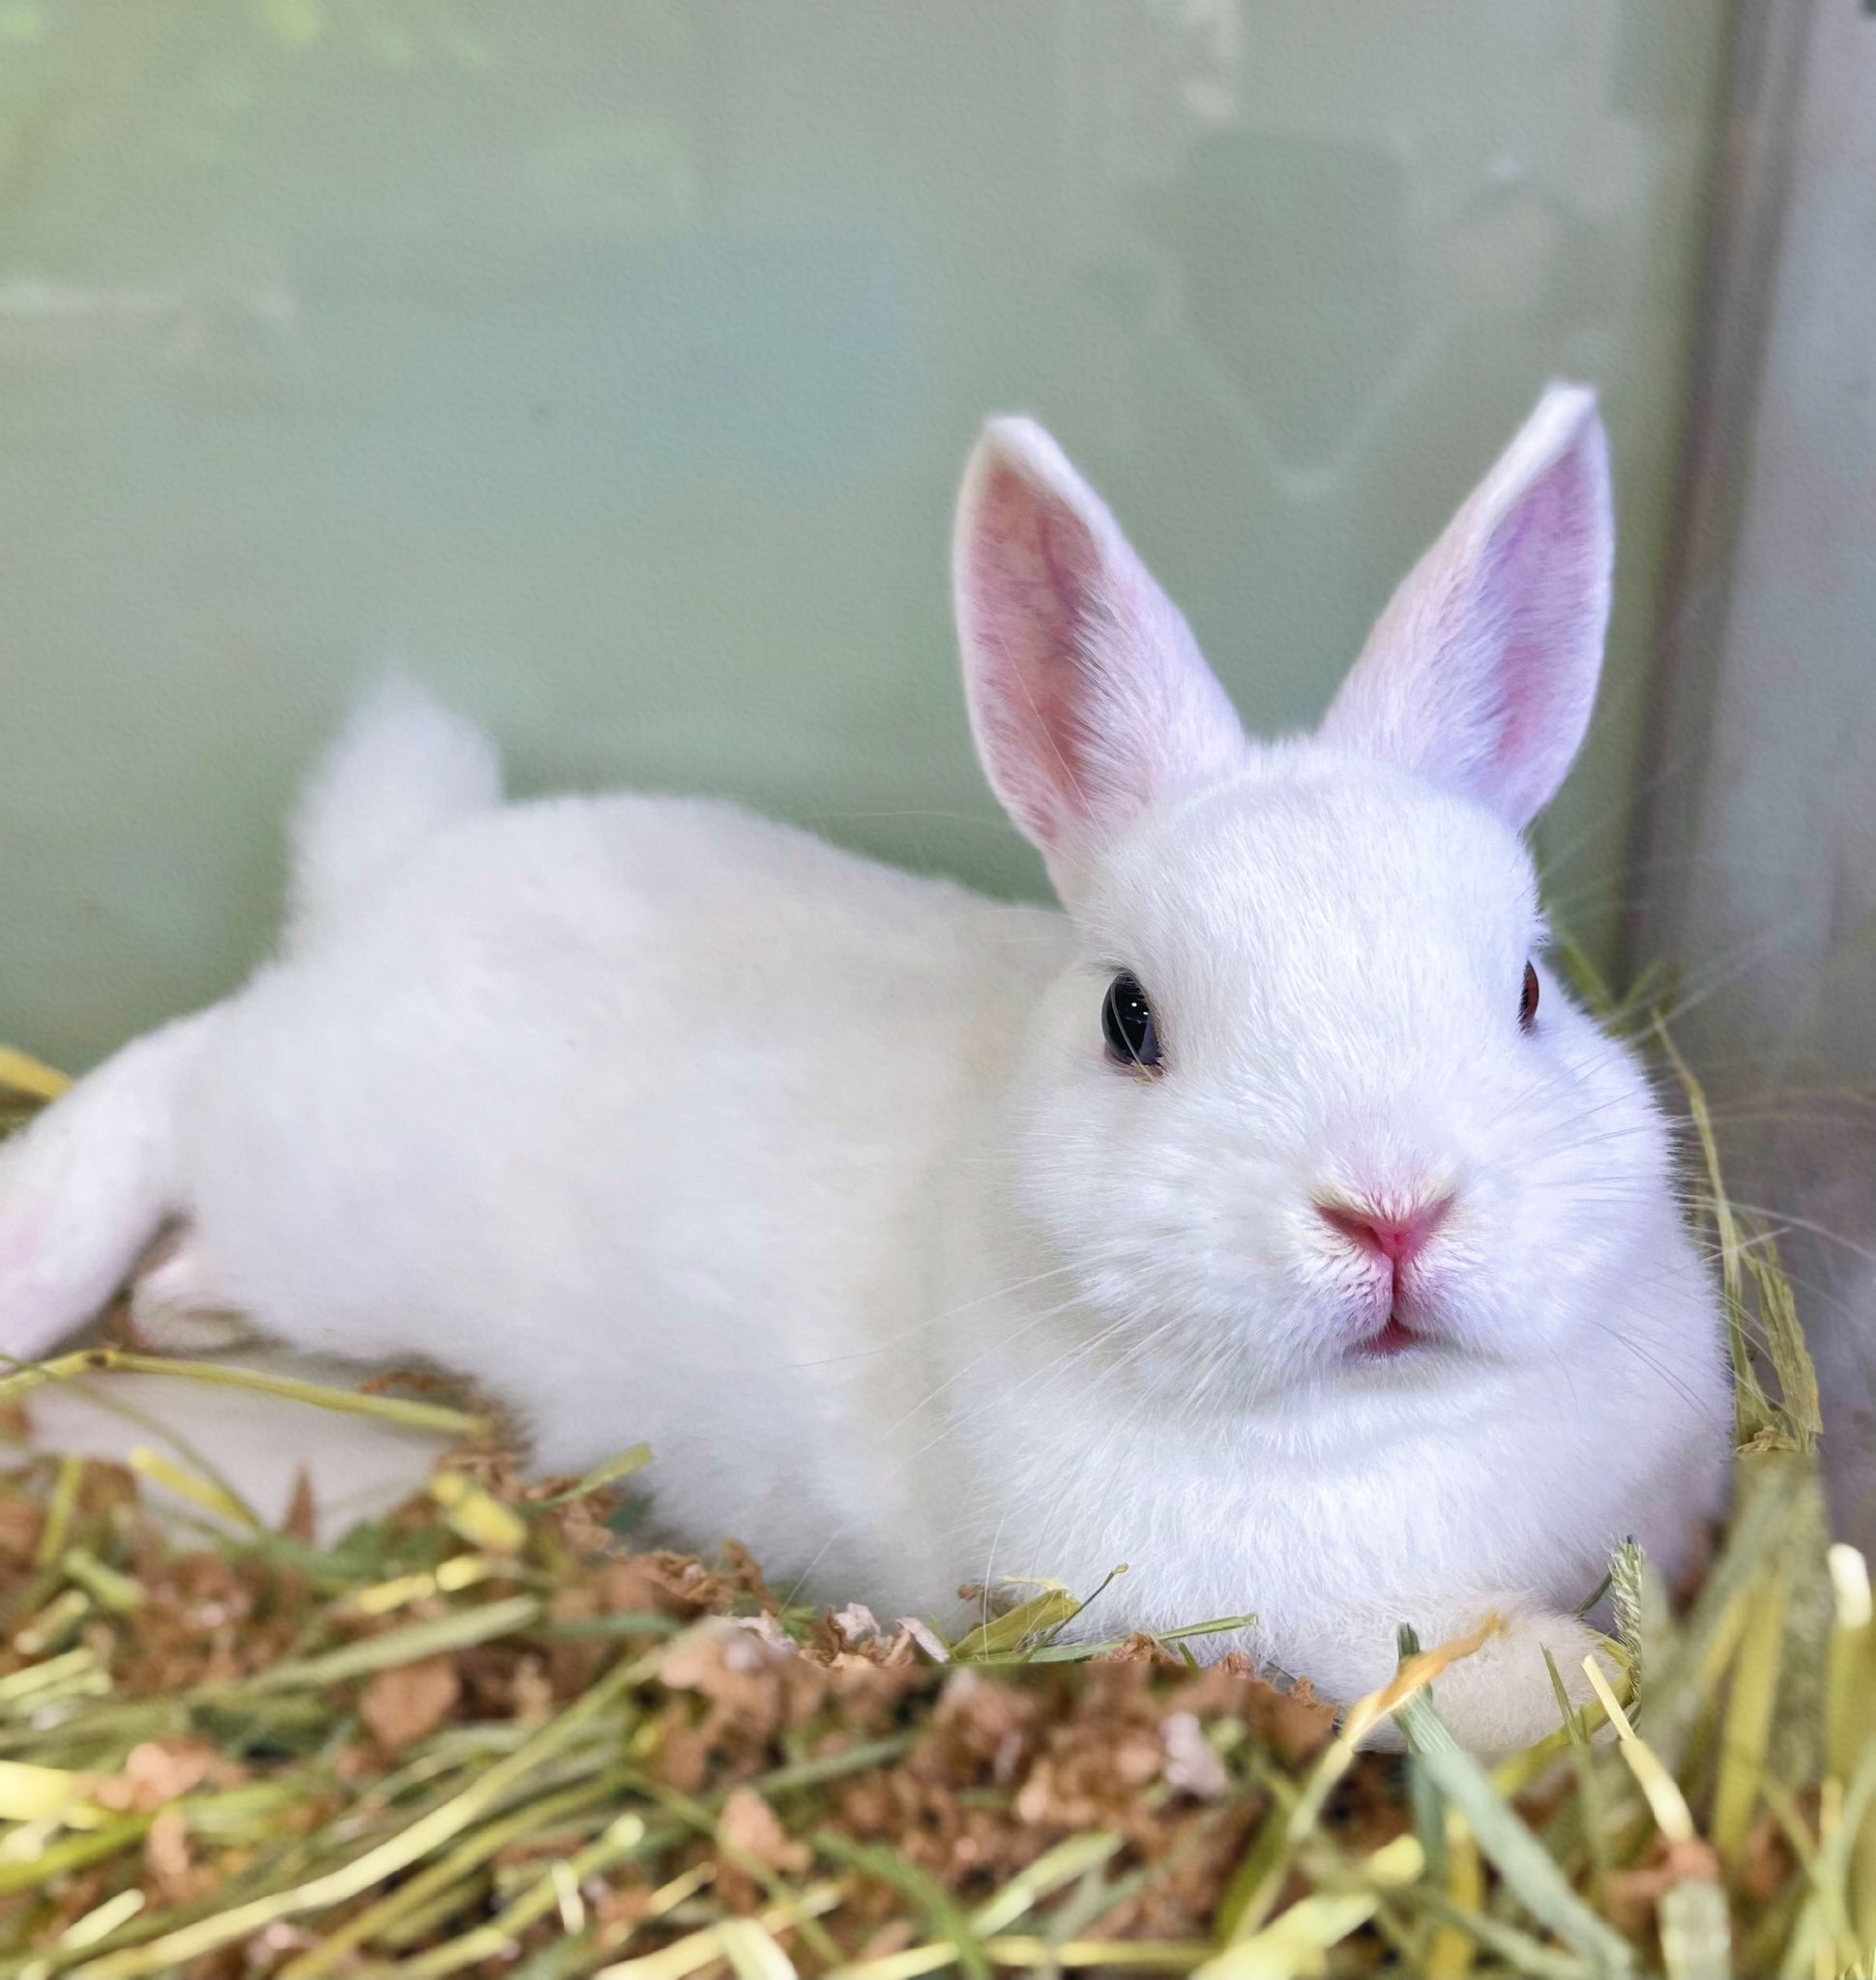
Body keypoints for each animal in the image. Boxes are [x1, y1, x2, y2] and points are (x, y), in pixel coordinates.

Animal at [0, 384, 1730, 1751]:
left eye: (1530, 988)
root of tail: (396, 872)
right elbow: (1491, 1668)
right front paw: (1606, 1682)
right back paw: (46, 1271)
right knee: (174, 1072)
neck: (1387, 1422)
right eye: (1130, 1021)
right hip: (311, 1174)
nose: (1391, 1211)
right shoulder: (1309, 1619)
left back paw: (174, 1303)